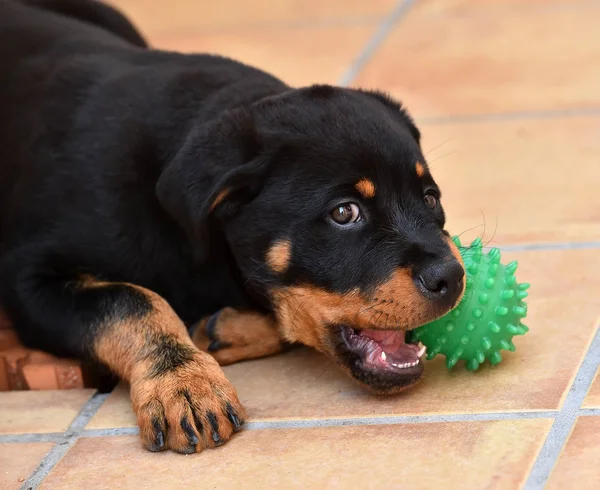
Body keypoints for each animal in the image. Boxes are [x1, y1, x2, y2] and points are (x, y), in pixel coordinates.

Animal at [0, 0, 464, 454]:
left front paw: (219, 332)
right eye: (344, 213)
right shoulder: (27, 279)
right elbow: (130, 300)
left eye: (430, 198)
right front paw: (183, 382)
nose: (453, 278)